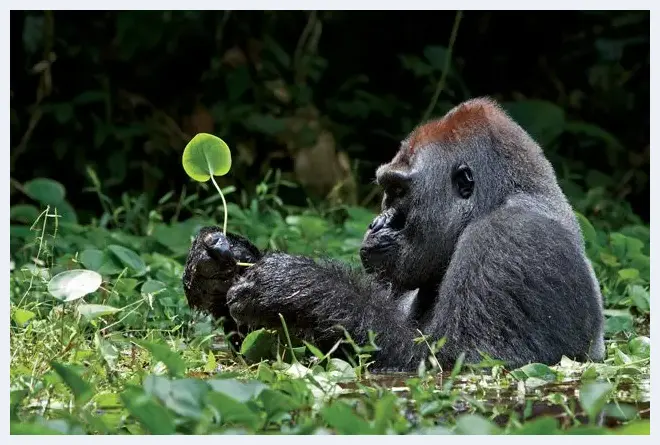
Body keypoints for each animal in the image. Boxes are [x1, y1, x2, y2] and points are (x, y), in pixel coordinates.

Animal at [180, 98, 604, 372]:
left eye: (399, 192)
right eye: (387, 190)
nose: (376, 223)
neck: (498, 199)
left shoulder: (511, 239)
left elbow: (460, 361)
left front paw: (297, 286)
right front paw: (218, 268)